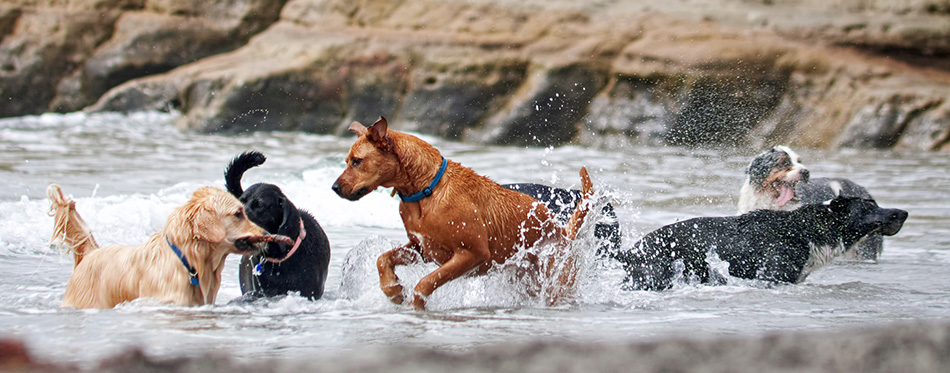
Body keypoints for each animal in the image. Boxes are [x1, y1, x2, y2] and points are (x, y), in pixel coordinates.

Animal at [330, 116, 592, 308]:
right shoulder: (421, 248)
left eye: (357, 161)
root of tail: (563, 232)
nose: (334, 188)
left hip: (556, 281)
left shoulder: (472, 254)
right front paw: (393, 289)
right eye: (347, 161)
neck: (426, 191)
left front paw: (416, 305)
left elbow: (425, 283)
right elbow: (382, 259)